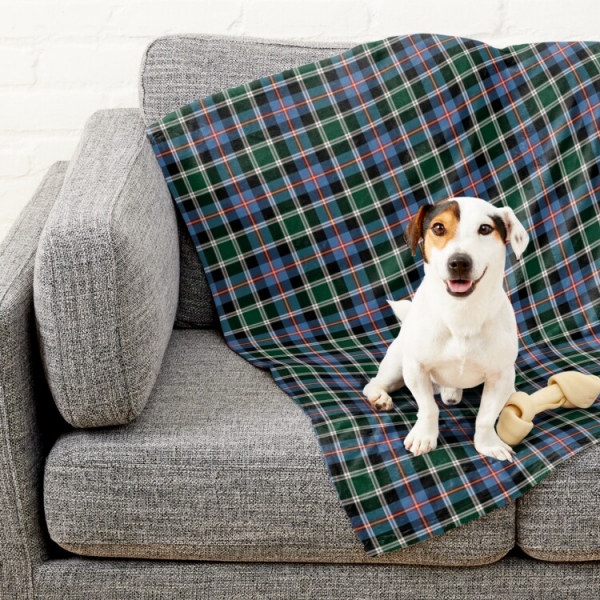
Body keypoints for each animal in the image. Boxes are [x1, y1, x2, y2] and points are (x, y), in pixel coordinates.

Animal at [364, 197, 528, 464]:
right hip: (397, 364)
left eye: (485, 228)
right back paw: (380, 397)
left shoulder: (500, 375)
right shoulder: (416, 368)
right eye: (439, 228)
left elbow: (485, 417)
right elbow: (428, 408)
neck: (461, 314)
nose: (459, 262)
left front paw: (489, 444)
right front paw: (424, 437)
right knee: (374, 383)